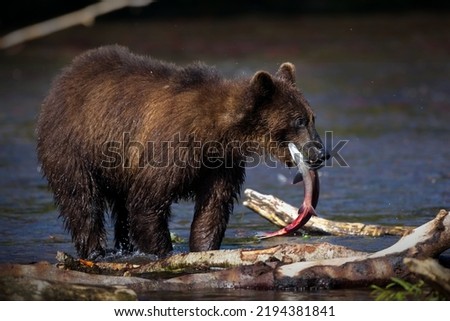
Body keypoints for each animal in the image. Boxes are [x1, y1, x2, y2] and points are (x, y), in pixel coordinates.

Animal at [37, 45, 326, 258]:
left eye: (312, 117)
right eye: (299, 120)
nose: (322, 153)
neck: (214, 132)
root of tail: (65, 76)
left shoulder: (220, 163)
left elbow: (212, 207)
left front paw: (203, 247)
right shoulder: (170, 148)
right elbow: (148, 203)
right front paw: (165, 252)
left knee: (120, 206)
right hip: (74, 146)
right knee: (81, 199)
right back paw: (95, 251)